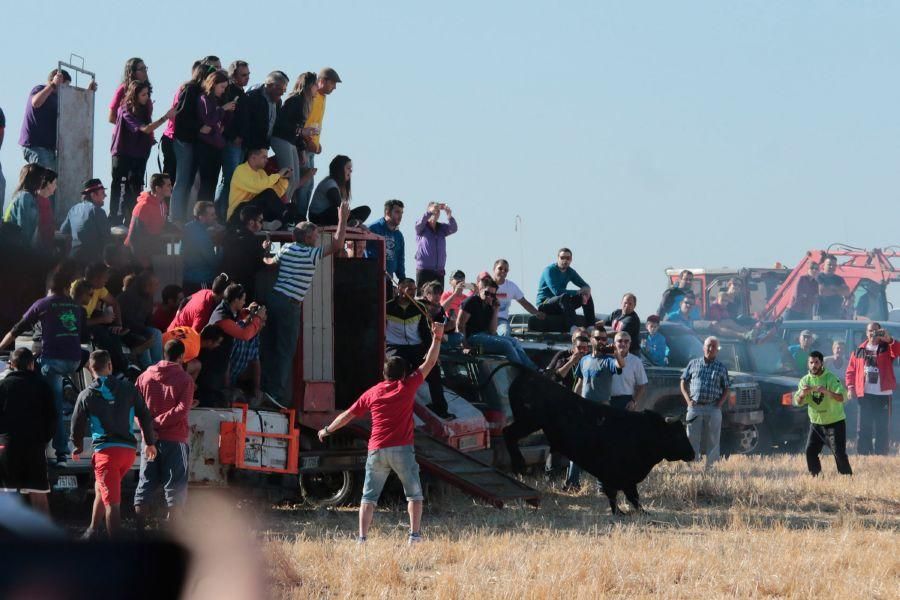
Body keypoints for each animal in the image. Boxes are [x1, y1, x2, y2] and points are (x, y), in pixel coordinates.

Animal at [502, 368, 692, 512]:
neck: (644, 432)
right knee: (507, 433)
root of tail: (528, 375)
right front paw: (622, 512)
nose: (692, 453)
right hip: (528, 422)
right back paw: (519, 465)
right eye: (678, 435)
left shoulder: (625, 478)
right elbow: (620, 495)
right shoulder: (613, 474)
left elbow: (631, 497)